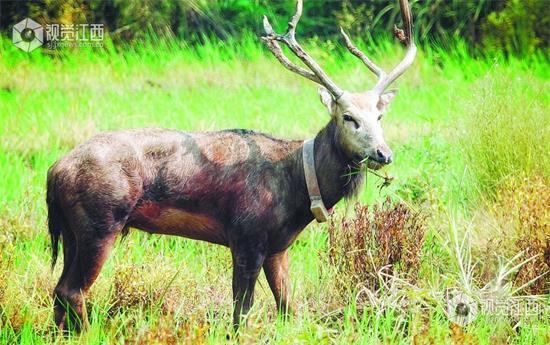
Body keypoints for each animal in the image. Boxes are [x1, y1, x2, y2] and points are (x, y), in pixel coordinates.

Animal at [47, 0, 418, 330]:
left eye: (379, 116)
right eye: (348, 117)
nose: (384, 154)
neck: (298, 188)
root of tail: (54, 172)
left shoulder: (278, 246)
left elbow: (288, 309)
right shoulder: (246, 234)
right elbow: (241, 312)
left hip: (72, 229)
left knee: (59, 290)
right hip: (101, 220)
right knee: (71, 290)